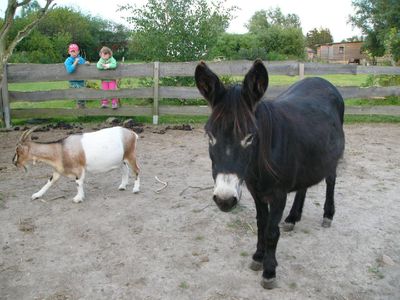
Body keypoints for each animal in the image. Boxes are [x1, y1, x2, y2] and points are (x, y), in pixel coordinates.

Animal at [12, 125, 141, 203]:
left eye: (18, 150)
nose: (14, 162)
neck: (61, 149)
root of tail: (132, 134)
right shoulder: (58, 170)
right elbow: (49, 181)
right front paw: (36, 195)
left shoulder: (79, 168)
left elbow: (78, 183)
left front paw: (78, 198)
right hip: (121, 159)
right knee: (125, 170)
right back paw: (122, 186)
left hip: (130, 155)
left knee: (137, 170)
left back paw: (135, 189)